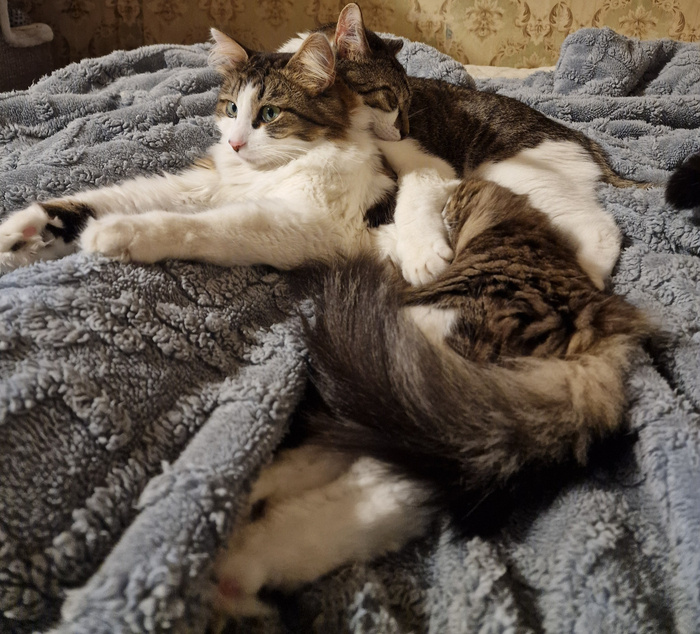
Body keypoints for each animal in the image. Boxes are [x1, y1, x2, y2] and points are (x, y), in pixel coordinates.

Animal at [212, 176, 650, 619]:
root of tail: (595, 348)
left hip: (414, 365)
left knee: (370, 472)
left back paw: (243, 555)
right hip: (443, 409)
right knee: (381, 472)